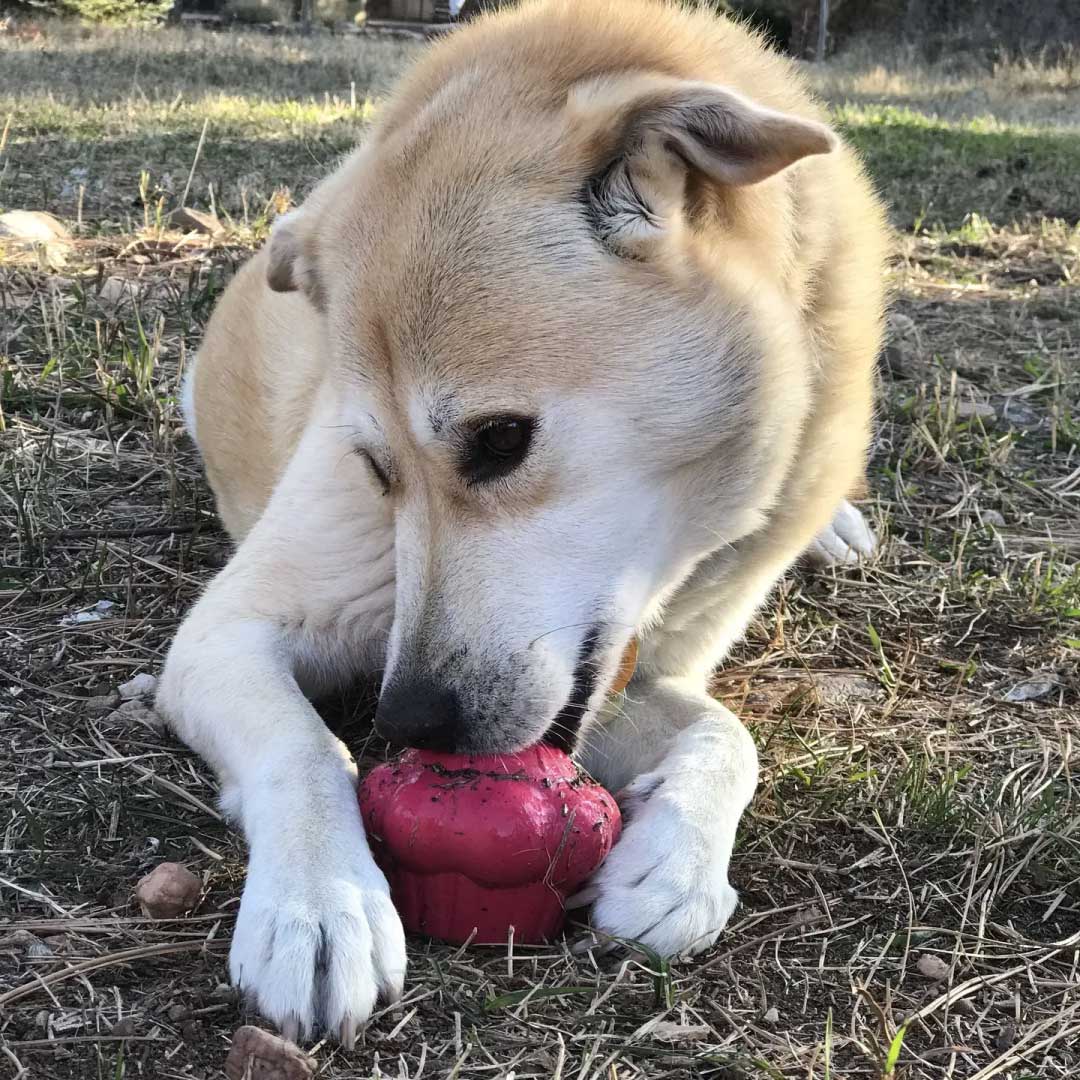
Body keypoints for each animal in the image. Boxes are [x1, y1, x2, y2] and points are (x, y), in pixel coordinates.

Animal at [157, 0, 885, 1045]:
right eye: (374, 467)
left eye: (501, 440)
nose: (407, 720)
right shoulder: (225, 634)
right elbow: (303, 748)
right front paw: (321, 904)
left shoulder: (633, 676)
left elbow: (729, 735)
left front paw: (675, 866)